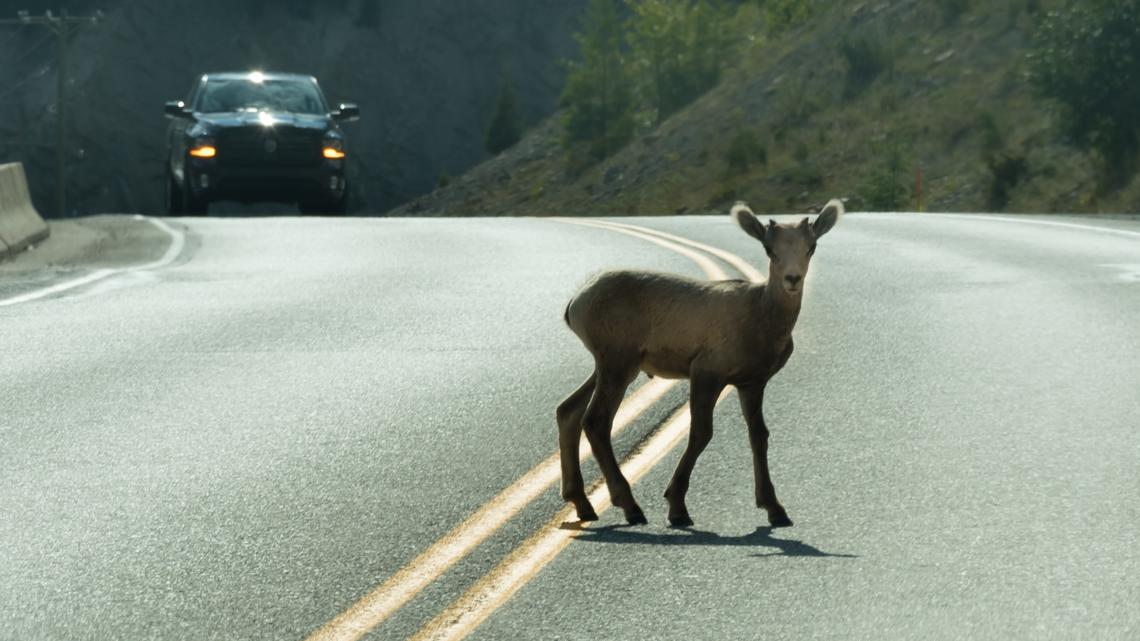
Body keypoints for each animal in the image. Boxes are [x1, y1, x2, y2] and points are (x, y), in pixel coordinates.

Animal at [556, 198, 843, 524]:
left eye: (811, 246)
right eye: (770, 249)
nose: (792, 279)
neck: (760, 316)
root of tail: (576, 303)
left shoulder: (751, 383)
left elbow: (759, 435)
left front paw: (775, 509)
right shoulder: (706, 373)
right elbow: (701, 433)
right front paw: (677, 507)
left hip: (609, 368)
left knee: (569, 411)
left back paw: (583, 505)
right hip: (617, 365)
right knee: (596, 421)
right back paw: (630, 506)